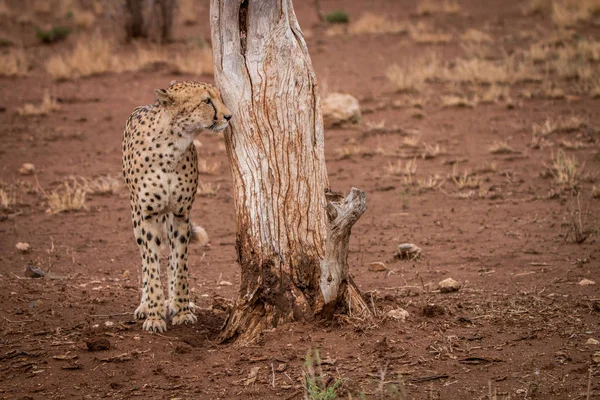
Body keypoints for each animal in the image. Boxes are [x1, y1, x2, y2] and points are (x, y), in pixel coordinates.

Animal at [122, 80, 232, 332]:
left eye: (219, 96)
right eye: (206, 101)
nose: (229, 116)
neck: (171, 146)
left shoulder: (181, 213)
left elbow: (180, 263)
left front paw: (181, 309)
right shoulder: (148, 214)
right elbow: (152, 265)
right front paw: (154, 314)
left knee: (172, 259)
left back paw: (173, 302)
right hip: (136, 216)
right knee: (144, 258)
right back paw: (146, 305)